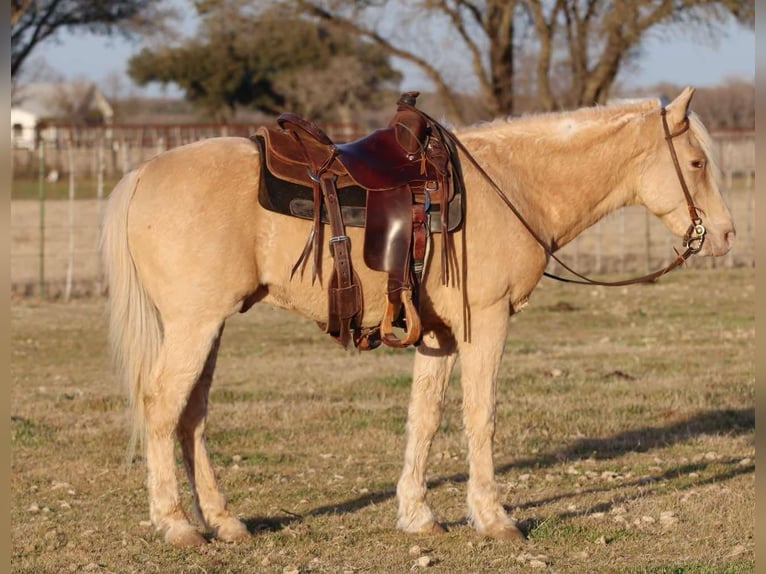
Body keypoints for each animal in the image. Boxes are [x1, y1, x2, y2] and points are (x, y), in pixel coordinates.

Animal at [101, 87, 735, 546]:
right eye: (696, 162)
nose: (725, 235)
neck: (510, 185)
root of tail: (142, 174)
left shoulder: (440, 337)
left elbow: (423, 419)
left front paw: (417, 515)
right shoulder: (487, 323)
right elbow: (481, 417)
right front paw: (493, 518)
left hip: (208, 327)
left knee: (192, 417)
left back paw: (224, 522)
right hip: (194, 325)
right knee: (162, 406)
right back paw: (177, 524)